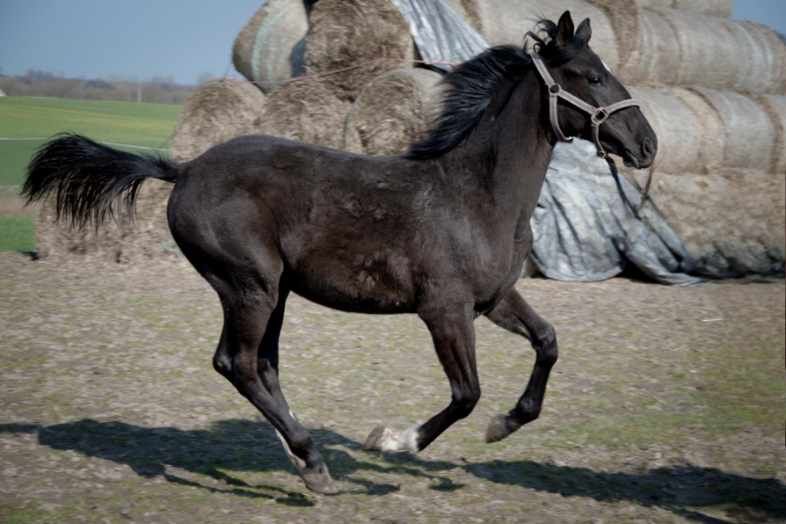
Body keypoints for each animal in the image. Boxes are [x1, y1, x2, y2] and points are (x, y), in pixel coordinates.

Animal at [21, 13, 652, 496]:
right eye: (591, 75)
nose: (647, 143)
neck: (475, 194)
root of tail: (186, 168)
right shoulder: (444, 310)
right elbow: (467, 394)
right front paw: (395, 440)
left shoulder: (495, 298)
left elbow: (547, 342)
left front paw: (505, 424)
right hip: (248, 285)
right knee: (237, 363)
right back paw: (312, 460)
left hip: (274, 292)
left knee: (263, 367)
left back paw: (301, 455)